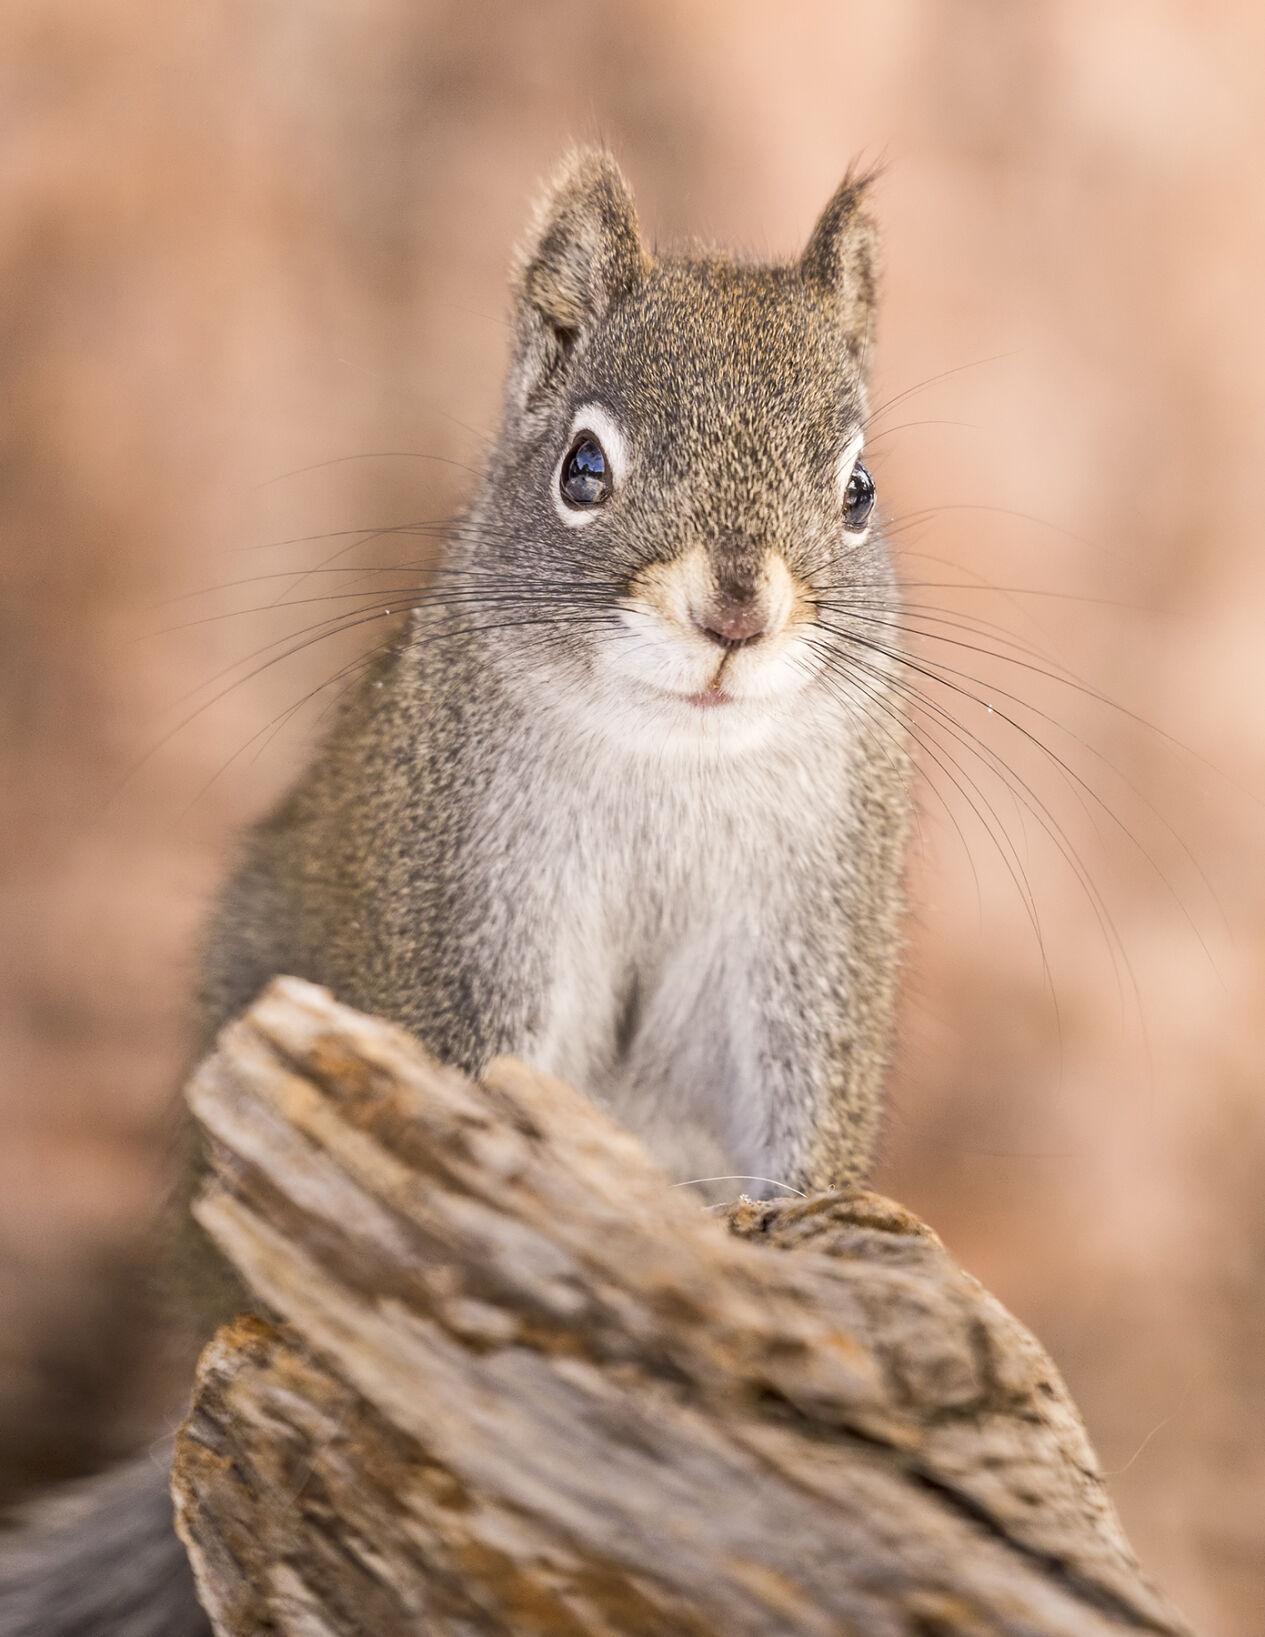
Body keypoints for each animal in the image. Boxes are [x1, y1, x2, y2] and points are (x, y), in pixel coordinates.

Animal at [0, 149, 911, 1636]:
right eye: (581, 468)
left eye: (861, 489)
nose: (736, 610)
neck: (672, 753)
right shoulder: (471, 901)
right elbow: (478, 1097)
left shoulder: (814, 925)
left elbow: (804, 1108)